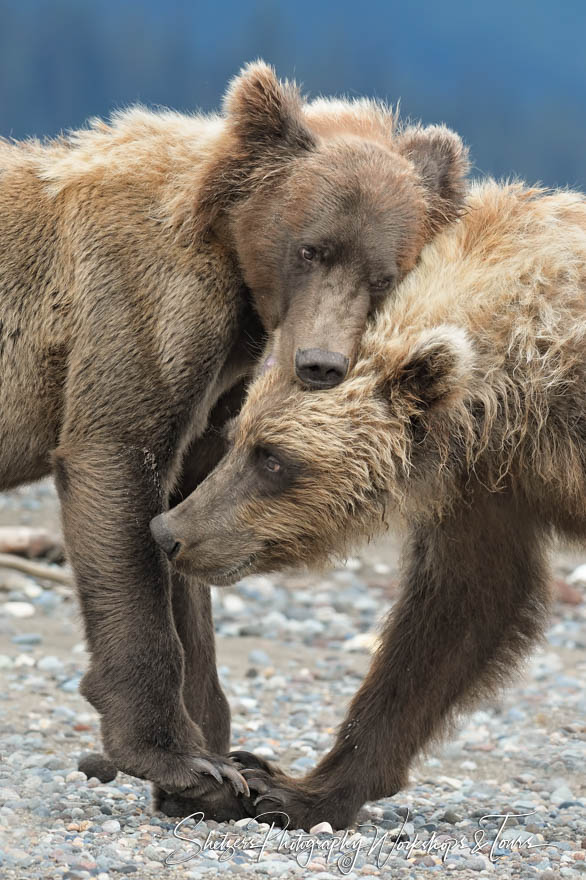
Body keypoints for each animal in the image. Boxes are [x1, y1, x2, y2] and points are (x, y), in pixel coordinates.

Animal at [0, 62, 466, 820]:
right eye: (312, 247)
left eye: (384, 274)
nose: (320, 363)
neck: (231, 258)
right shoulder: (142, 300)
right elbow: (119, 466)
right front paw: (181, 760)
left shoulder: (222, 385)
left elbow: (190, 519)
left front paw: (222, 770)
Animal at [154, 180, 584, 832]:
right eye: (239, 437)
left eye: (274, 458)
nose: (169, 530)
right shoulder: (482, 482)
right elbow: (462, 607)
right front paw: (290, 786)